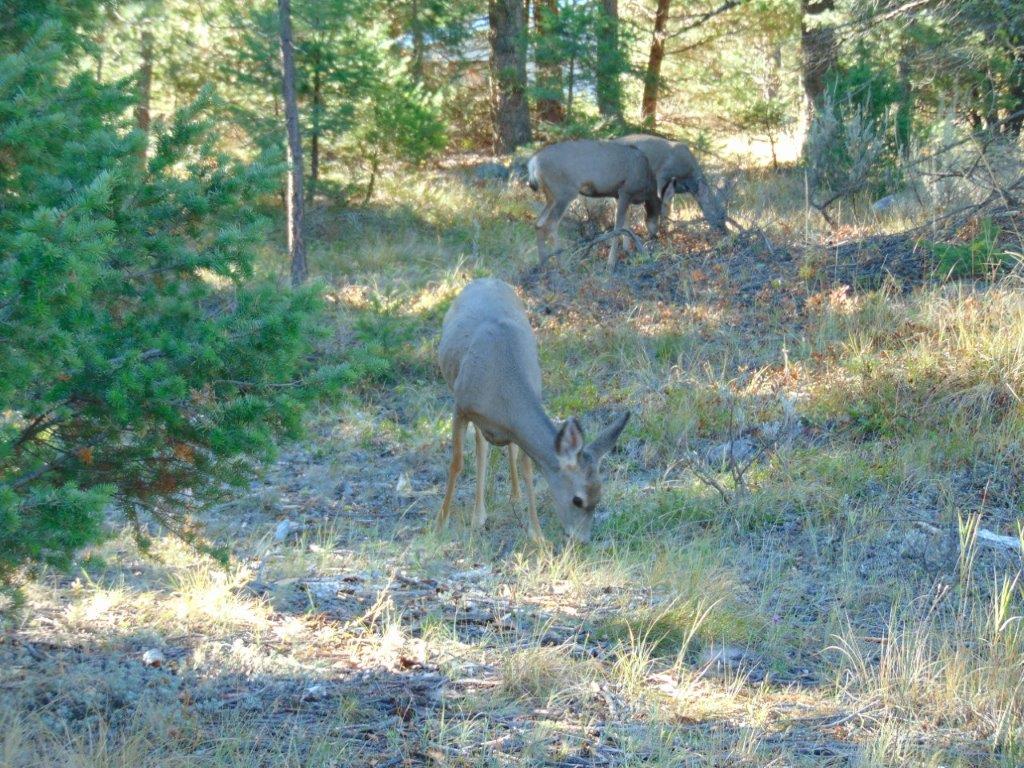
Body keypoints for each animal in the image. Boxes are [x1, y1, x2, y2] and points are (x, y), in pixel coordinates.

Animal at [436, 278, 631, 544]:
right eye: (577, 499)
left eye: (599, 495)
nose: (582, 540)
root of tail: (486, 279)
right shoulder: (461, 406)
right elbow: (456, 462)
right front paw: (440, 523)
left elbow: (527, 469)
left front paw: (536, 534)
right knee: (480, 448)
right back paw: (479, 515)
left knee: (502, 448)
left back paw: (513, 497)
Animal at [527, 139, 663, 270]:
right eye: (660, 216)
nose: (655, 235)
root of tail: (534, 162)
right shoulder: (625, 191)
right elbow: (618, 228)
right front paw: (611, 263)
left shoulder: (617, 196)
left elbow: (626, 224)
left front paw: (628, 250)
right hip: (563, 192)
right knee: (550, 225)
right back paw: (562, 264)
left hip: (551, 195)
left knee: (538, 223)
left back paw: (543, 263)